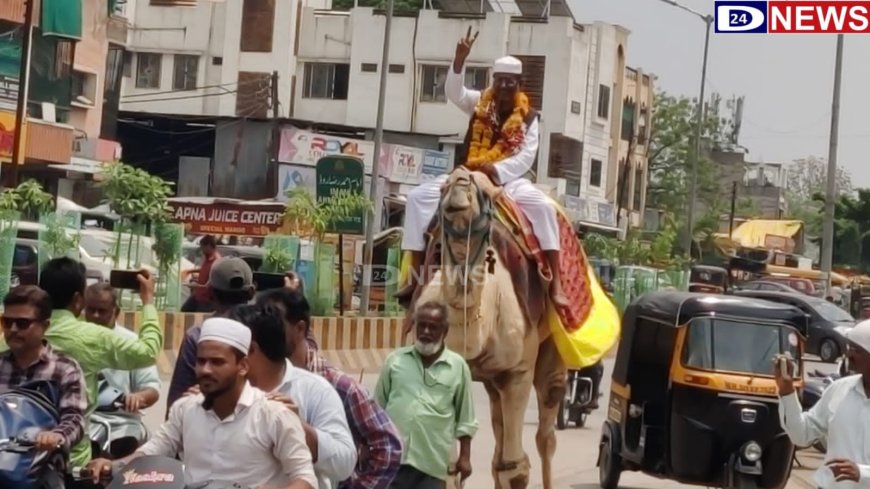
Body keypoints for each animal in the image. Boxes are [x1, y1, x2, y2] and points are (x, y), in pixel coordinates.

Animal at [412, 168, 568, 488]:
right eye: (444, 187)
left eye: (481, 192)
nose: (460, 180)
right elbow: (447, 469)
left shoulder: (518, 371)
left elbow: (516, 468)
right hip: (492, 381)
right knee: (498, 434)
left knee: (546, 432)